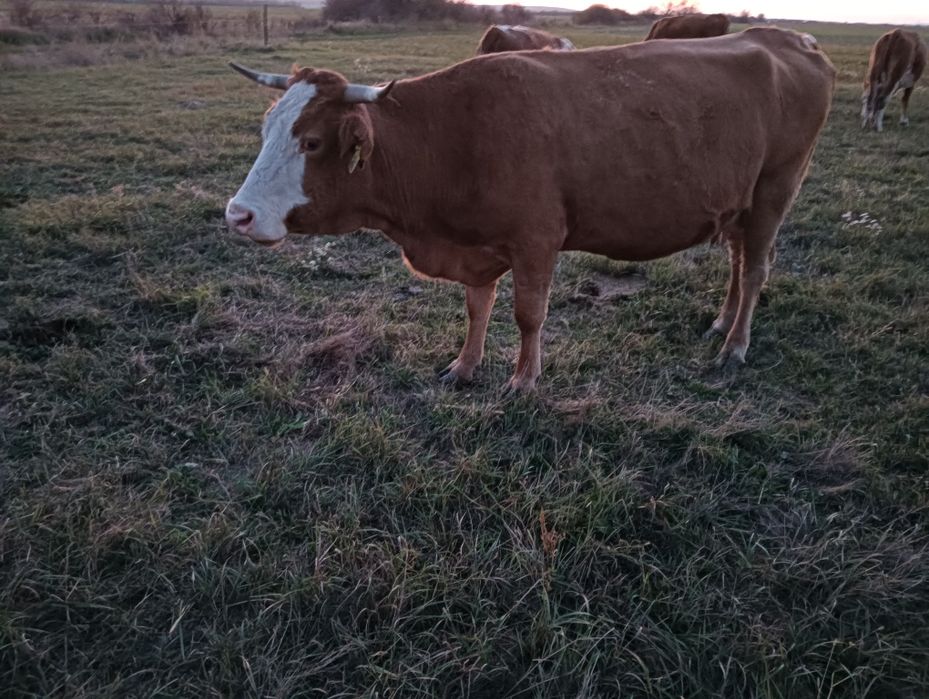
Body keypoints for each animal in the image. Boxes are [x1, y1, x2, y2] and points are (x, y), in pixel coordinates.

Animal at [225, 28, 835, 392]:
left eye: (311, 142)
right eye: (267, 128)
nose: (238, 215)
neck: (452, 136)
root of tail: (783, 37)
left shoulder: (537, 239)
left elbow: (528, 315)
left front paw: (523, 382)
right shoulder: (476, 244)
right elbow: (477, 307)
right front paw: (465, 365)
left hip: (775, 191)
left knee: (754, 270)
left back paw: (735, 346)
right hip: (739, 205)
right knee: (737, 262)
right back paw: (721, 323)